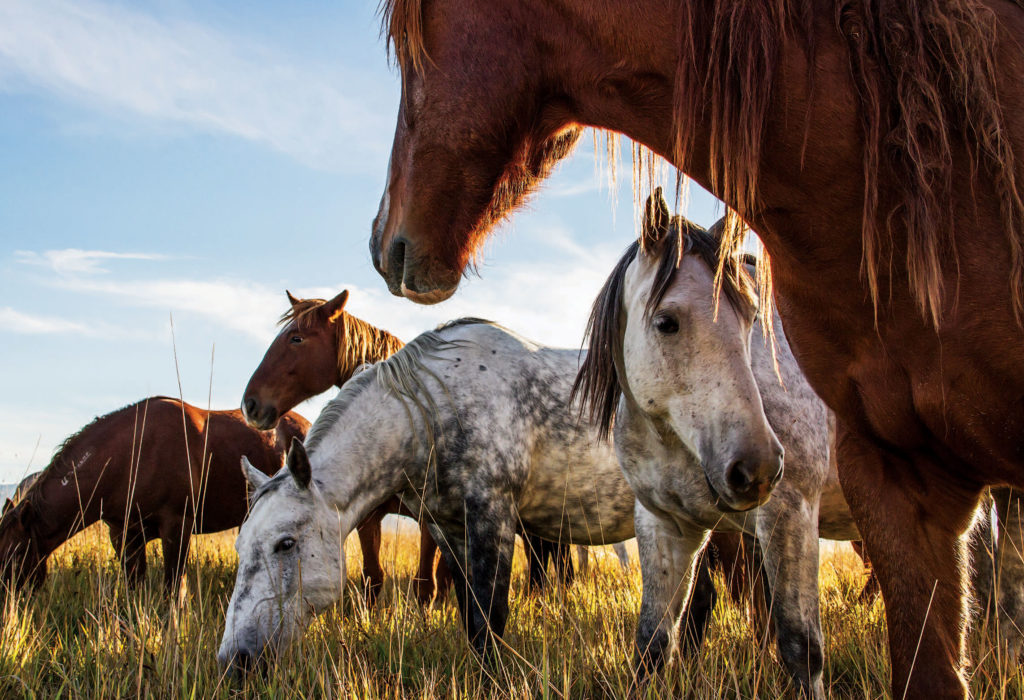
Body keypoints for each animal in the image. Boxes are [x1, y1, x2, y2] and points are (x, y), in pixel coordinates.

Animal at [0, 397, 307, 593]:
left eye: (15, 554)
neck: (131, 455)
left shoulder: (176, 528)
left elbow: (172, 591)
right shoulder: (124, 535)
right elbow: (134, 589)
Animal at [369, 2, 1024, 694]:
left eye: (406, 50)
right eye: (667, 323)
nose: (388, 244)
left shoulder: (792, 515)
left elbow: (801, 648)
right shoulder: (669, 525)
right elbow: (654, 646)